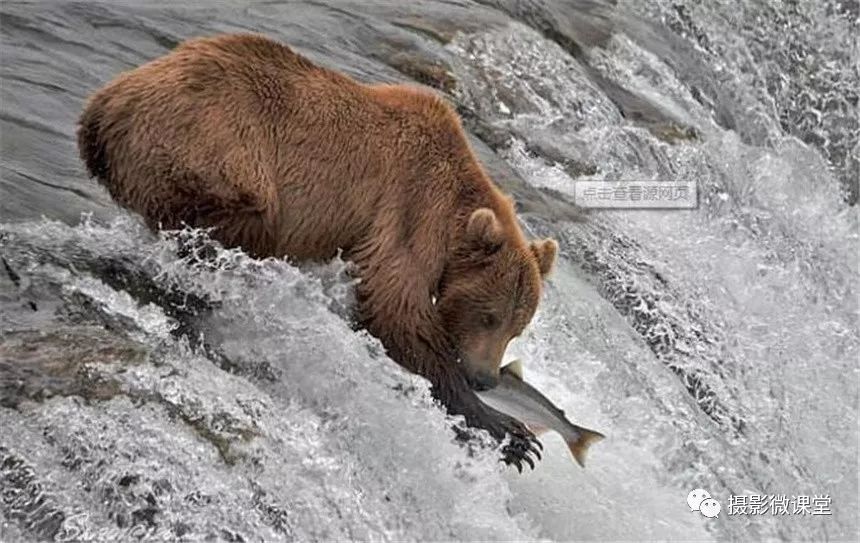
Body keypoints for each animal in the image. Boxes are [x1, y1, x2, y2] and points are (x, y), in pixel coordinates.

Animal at [79, 33, 556, 468]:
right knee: (244, 213)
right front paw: (510, 434)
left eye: (517, 328)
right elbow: (396, 308)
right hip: (211, 144)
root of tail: (104, 104)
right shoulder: (412, 209)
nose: (485, 379)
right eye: (488, 316)